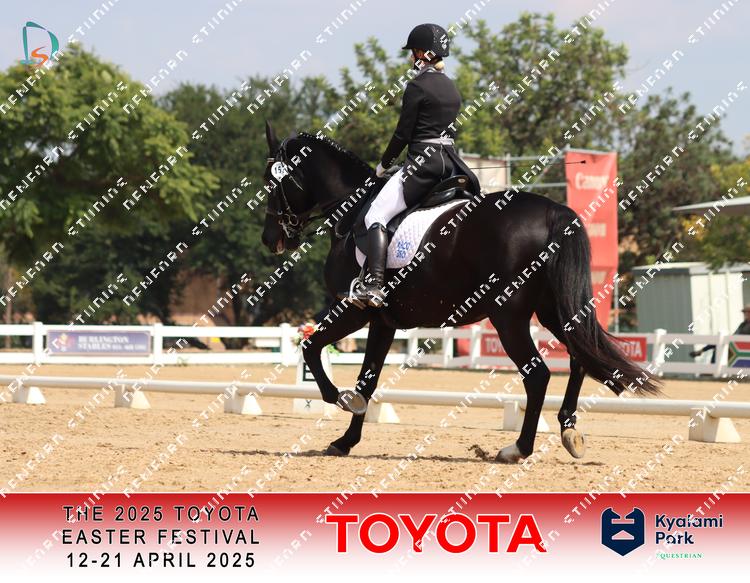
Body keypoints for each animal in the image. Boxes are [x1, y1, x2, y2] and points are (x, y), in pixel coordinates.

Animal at [259, 121, 659, 463]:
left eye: (270, 181)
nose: (270, 239)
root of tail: (553, 212)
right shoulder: (383, 321)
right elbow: (367, 380)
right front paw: (346, 440)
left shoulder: (353, 308)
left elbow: (312, 348)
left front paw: (340, 400)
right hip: (551, 311)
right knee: (578, 359)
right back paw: (568, 432)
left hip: (508, 317)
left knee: (538, 375)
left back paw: (517, 448)